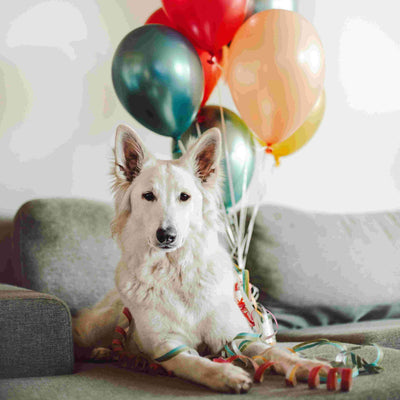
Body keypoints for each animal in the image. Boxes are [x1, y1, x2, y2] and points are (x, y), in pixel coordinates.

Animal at [73, 124, 326, 393]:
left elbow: (275, 352)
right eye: (148, 196)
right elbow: (197, 364)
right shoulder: (168, 346)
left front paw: (309, 366)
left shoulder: (236, 337)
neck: (175, 272)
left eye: (184, 197)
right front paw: (226, 374)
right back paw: (100, 351)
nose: (166, 235)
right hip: (100, 323)